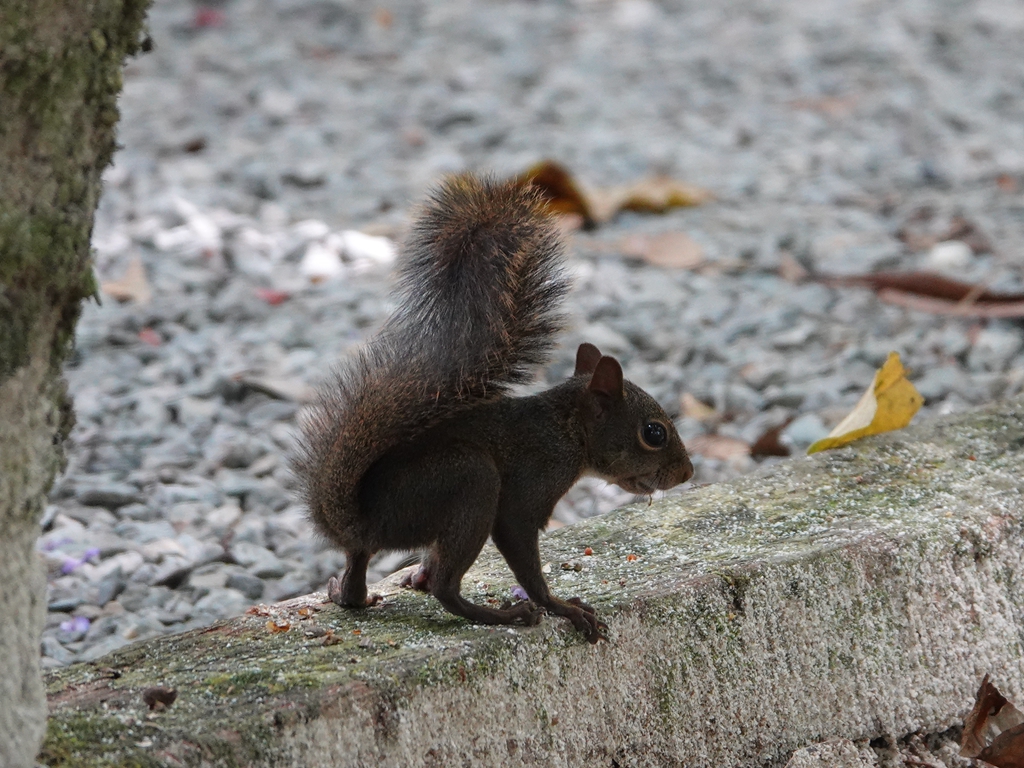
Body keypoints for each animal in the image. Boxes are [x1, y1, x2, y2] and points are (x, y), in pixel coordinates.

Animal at [296, 176, 696, 643]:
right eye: (654, 433)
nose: (687, 473)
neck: (566, 429)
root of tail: (361, 518)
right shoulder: (532, 482)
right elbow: (518, 538)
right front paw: (563, 608)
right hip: (470, 481)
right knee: (445, 587)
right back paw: (504, 615)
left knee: (361, 569)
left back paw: (353, 592)